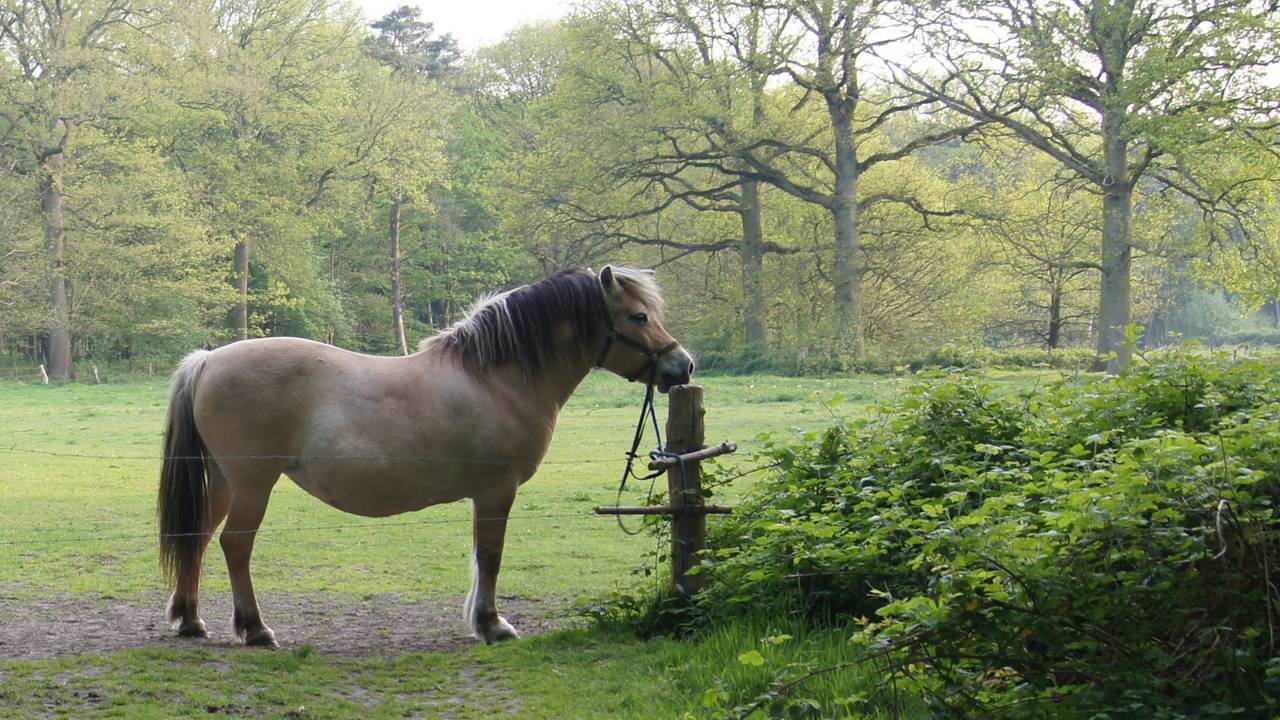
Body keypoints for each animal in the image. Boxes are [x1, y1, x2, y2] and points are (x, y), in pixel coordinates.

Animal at [157, 266, 693, 647]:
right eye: (639, 317)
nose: (682, 364)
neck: (495, 377)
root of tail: (209, 359)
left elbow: (481, 556)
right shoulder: (497, 491)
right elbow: (490, 555)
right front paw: (492, 625)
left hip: (224, 483)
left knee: (196, 538)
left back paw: (190, 620)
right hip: (252, 487)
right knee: (235, 546)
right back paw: (254, 628)